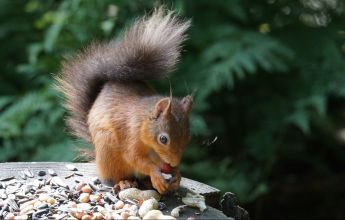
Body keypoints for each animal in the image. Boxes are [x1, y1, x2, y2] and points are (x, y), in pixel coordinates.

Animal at [55, 7, 192, 193]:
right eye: (163, 139)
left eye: (188, 137)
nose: (173, 163)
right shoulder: (130, 135)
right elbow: (135, 158)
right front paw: (156, 174)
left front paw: (177, 174)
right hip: (108, 150)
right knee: (115, 177)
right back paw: (124, 182)